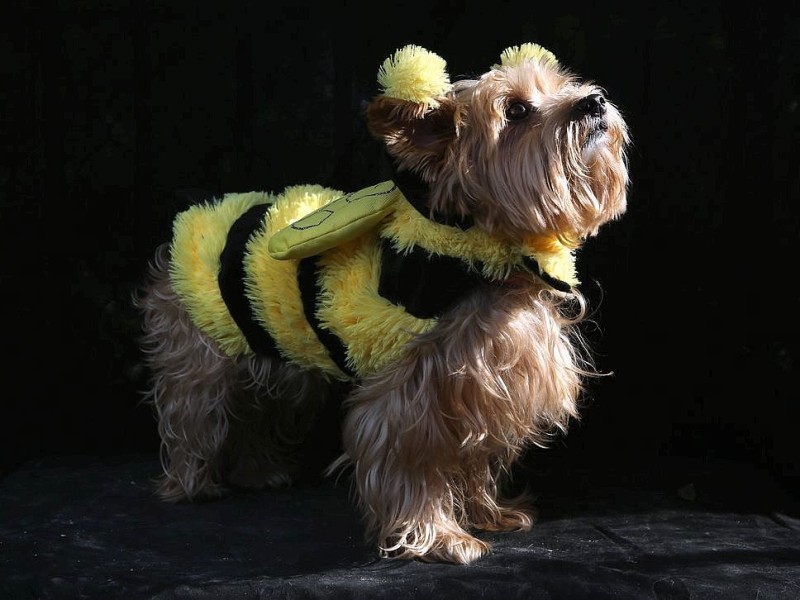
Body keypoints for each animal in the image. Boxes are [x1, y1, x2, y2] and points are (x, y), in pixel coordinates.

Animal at [133, 44, 632, 564]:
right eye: (515, 111)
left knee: (258, 408)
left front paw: (487, 514)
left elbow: (475, 456)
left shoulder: (486, 381)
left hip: (272, 351)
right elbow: (412, 458)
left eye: (563, 85)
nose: (594, 100)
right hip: (200, 347)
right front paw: (439, 537)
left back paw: (258, 471)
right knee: (194, 412)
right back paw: (191, 484)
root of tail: (193, 220)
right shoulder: (412, 386)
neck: (480, 248)